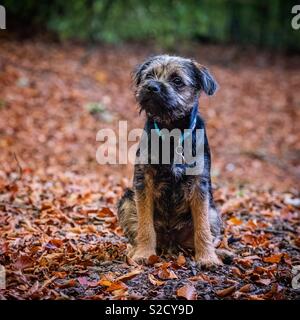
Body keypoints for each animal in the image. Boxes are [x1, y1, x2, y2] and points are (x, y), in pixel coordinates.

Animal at [117, 55, 223, 268]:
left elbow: (202, 226)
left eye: (177, 81)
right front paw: (144, 253)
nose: (152, 87)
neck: (171, 132)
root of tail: (170, 242)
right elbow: (145, 224)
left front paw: (207, 257)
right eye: (149, 75)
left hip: (214, 213)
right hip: (127, 201)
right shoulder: (144, 180)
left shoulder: (199, 184)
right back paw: (133, 250)